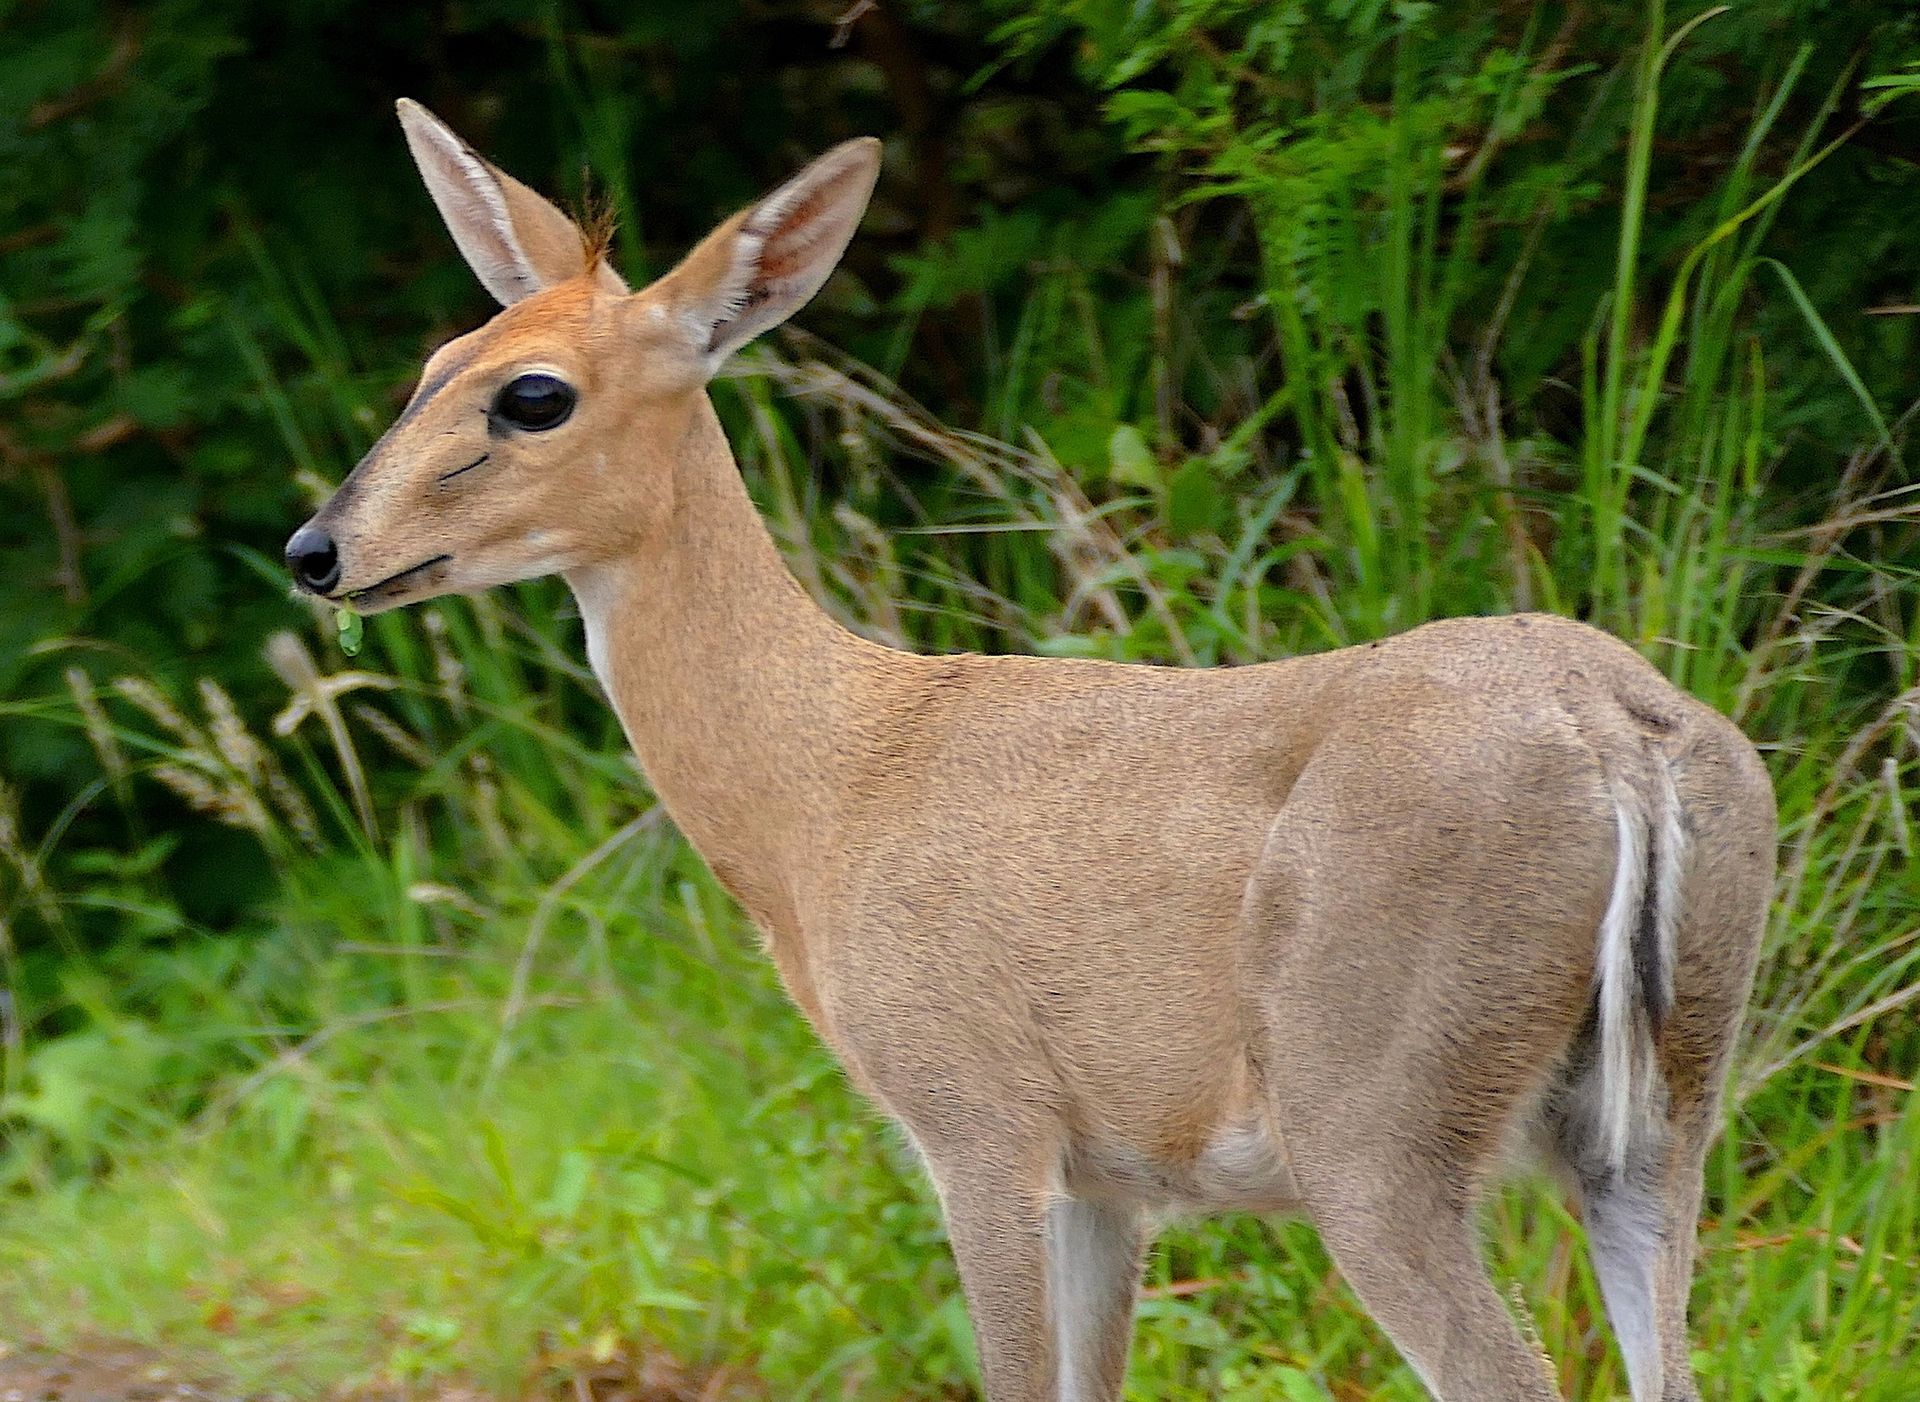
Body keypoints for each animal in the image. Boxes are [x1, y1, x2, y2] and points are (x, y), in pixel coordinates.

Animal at [283, 100, 1776, 1402]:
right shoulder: (1109, 1174)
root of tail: (1619, 729)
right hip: (1668, 1106)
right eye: (431, 364)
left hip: (1375, 1104)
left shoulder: (975, 1112)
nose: (317, 551)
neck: (825, 793)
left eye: (533, 396)